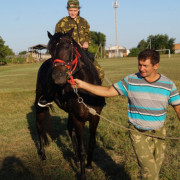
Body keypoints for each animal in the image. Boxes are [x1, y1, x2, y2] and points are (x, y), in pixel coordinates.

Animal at [34, 28, 105, 179]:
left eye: (67, 47)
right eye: (50, 49)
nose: (58, 76)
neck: (87, 91)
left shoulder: (94, 118)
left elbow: (91, 143)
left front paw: (89, 165)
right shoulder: (78, 120)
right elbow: (82, 148)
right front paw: (82, 174)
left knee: (68, 129)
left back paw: (75, 157)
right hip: (40, 106)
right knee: (40, 127)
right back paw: (43, 154)